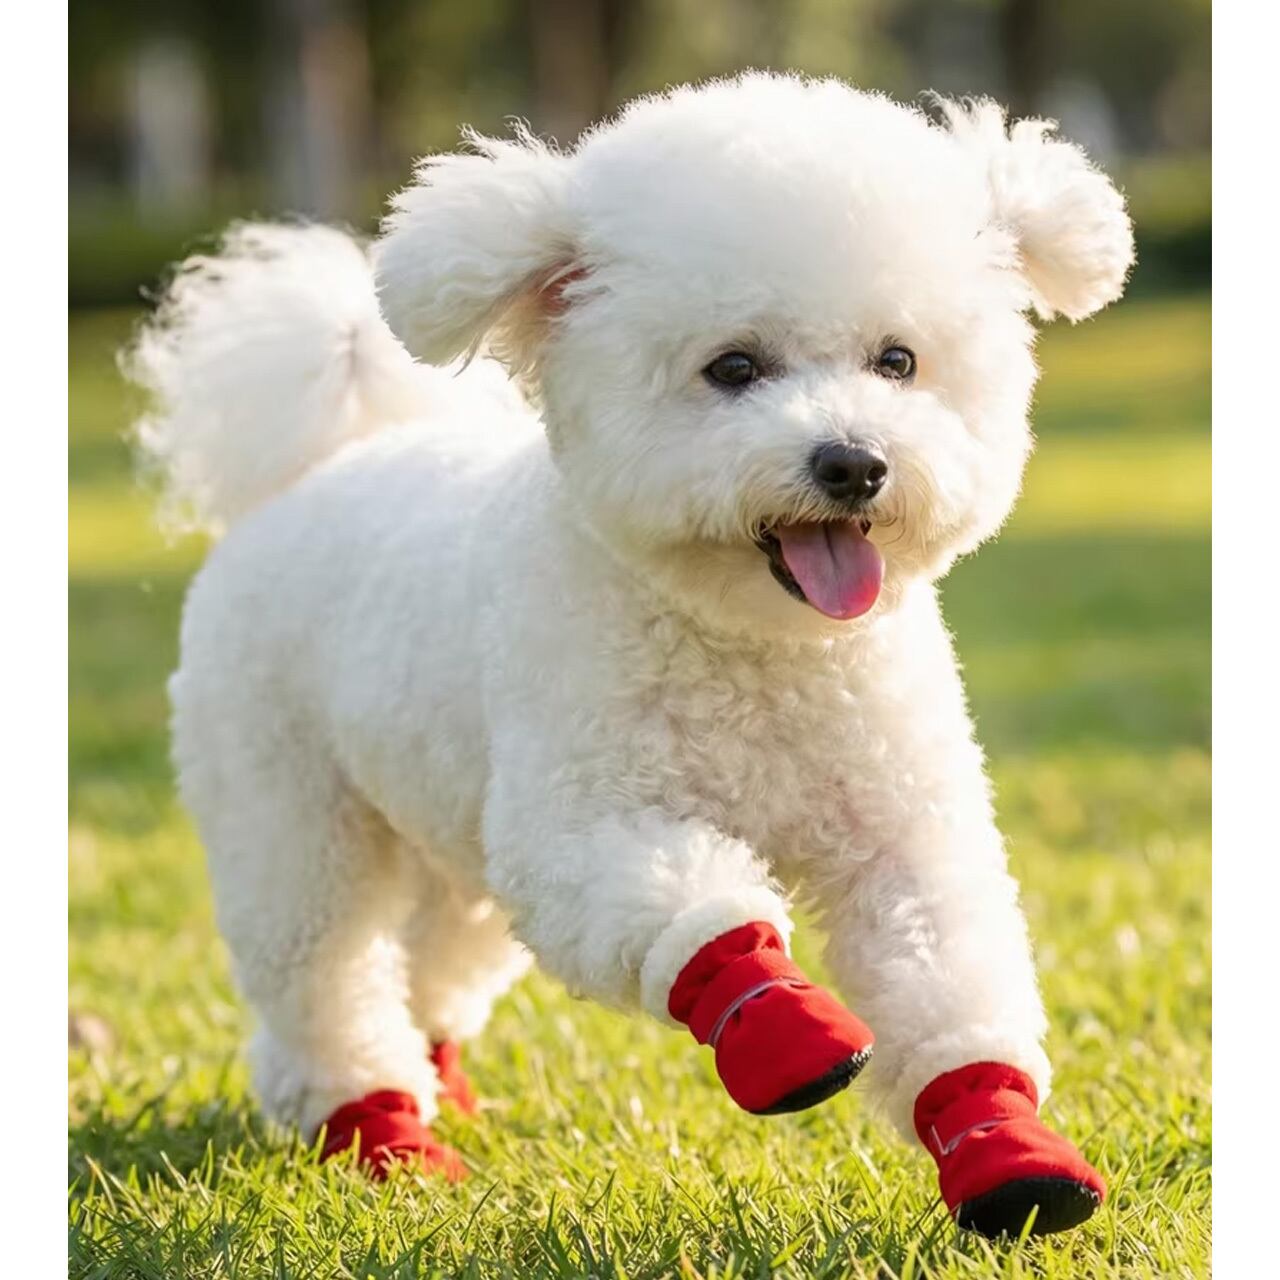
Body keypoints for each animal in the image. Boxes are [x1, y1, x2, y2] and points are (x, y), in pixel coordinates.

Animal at [126, 72, 1133, 1236]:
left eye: (897, 361)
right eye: (731, 368)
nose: (852, 462)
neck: (756, 648)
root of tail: (319, 464)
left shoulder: (899, 832)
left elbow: (950, 984)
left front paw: (1007, 1149)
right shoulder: (579, 824)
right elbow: (697, 915)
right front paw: (783, 1028)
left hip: (451, 847)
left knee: (432, 969)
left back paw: (437, 1090)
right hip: (291, 815)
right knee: (323, 983)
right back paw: (382, 1131)